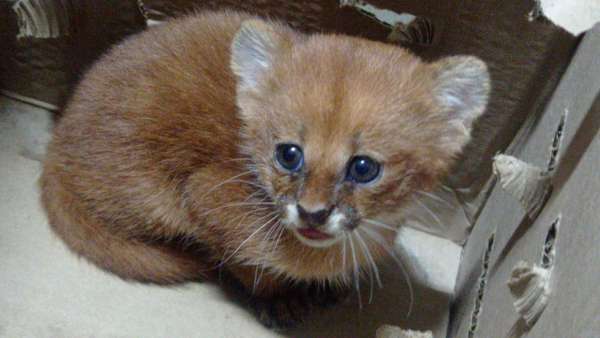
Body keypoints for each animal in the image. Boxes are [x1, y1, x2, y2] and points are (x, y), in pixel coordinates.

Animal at [38, 9, 488, 328]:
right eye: (288, 154)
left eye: (364, 168)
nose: (312, 213)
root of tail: (56, 141)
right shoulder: (203, 206)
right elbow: (247, 266)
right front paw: (281, 299)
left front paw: (331, 286)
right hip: (150, 199)